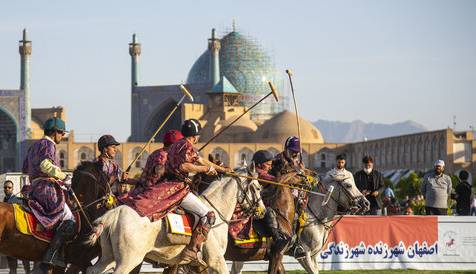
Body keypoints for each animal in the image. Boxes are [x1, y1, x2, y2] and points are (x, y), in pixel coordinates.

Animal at [84, 168, 264, 272]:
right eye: (257, 188)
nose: (262, 211)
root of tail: (115, 213)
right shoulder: (216, 260)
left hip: (109, 257)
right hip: (128, 259)